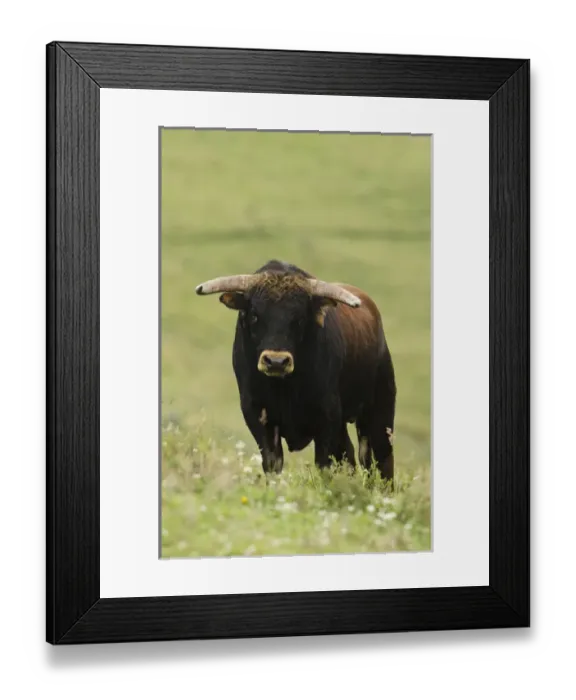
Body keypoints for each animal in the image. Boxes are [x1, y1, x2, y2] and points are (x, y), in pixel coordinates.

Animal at [195, 260, 396, 483]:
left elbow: (324, 463)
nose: (276, 361)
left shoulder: (327, 417)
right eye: (255, 315)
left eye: (299, 318)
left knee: (378, 459)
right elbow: (272, 463)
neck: (284, 387)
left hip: (379, 411)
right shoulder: (257, 414)